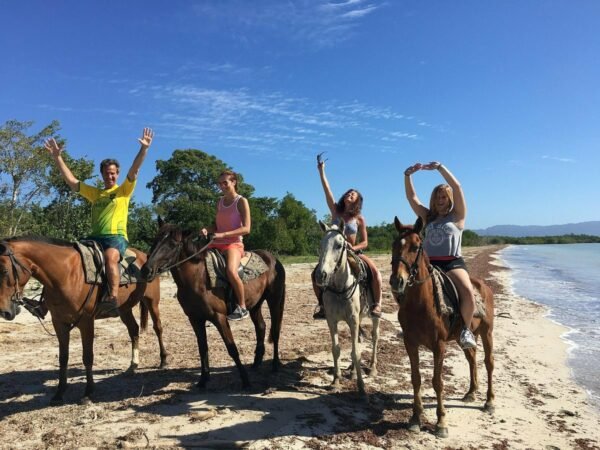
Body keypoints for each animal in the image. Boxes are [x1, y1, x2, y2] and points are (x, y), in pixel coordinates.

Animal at [0, 236, 168, 404]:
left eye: (5, 271)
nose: (4, 312)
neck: (66, 275)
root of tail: (145, 258)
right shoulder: (59, 323)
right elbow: (63, 358)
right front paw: (59, 393)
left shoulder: (86, 322)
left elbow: (87, 357)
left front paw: (88, 392)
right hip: (124, 309)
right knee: (133, 330)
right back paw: (133, 366)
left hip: (152, 301)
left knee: (158, 328)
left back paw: (163, 360)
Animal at [143, 223, 288, 388]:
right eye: (155, 240)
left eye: (173, 244)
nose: (146, 270)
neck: (198, 279)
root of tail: (273, 259)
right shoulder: (195, 319)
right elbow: (202, 348)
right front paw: (203, 380)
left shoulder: (219, 318)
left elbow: (232, 348)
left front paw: (245, 381)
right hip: (255, 305)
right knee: (261, 327)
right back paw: (256, 362)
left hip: (274, 300)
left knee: (275, 331)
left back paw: (275, 365)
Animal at [314, 220, 380, 396]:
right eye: (320, 245)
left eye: (339, 245)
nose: (321, 275)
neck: (339, 288)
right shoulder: (332, 321)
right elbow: (336, 349)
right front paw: (336, 381)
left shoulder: (353, 320)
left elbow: (356, 352)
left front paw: (361, 387)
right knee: (357, 340)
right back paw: (351, 370)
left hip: (374, 316)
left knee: (375, 337)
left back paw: (372, 368)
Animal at [386, 216, 494, 438]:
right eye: (394, 245)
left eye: (415, 246)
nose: (396, 281)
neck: (421, 303)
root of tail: (484, 287)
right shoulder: (410, 343)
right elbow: (416, 378)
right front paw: (415, 418)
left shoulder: (439, 346)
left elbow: (437, 382)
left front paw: (441, 422)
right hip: (465, 339)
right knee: (472, 359)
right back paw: (471, 392)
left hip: (487, 333)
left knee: (489, 363)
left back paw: (489, 401)